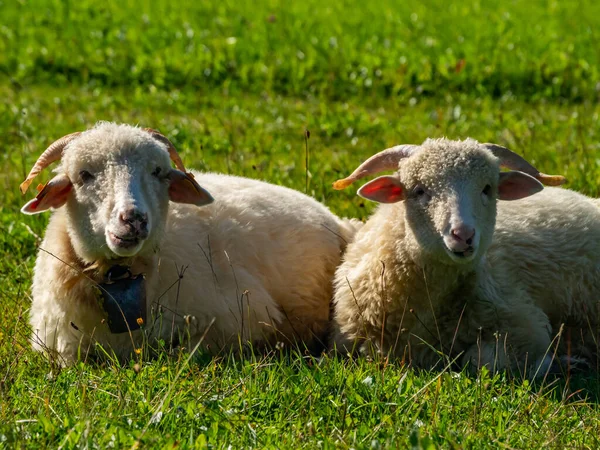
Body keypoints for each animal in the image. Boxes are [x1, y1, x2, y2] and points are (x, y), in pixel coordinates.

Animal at [21, 122, 360, 366]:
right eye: (84, 175)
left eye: (157, 172)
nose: (134, 219)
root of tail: (337, 220)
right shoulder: (55, 344)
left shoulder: (242, 320)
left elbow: (182, 352)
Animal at [328, 139, 568, 374]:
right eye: (419, 191)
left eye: (487, 189)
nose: (463, 235)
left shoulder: (524, 326)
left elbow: (479, 360)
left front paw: (545, 363)